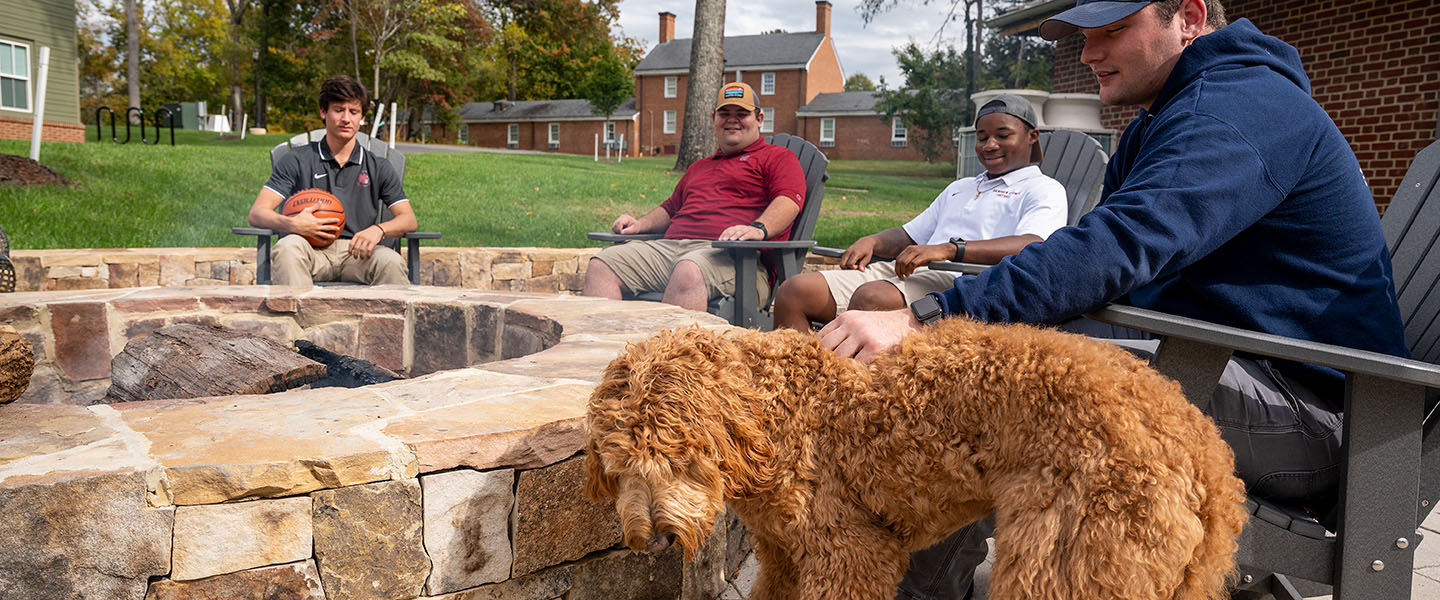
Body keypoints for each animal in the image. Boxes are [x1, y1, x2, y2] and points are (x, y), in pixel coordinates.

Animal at [584, 315, 1249, 595]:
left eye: (676, 458)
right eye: (618, 470)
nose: (653, 541)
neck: (781, 414)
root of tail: (1209, 456)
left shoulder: (851, 557)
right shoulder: (784, 557)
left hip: (1061, 566)